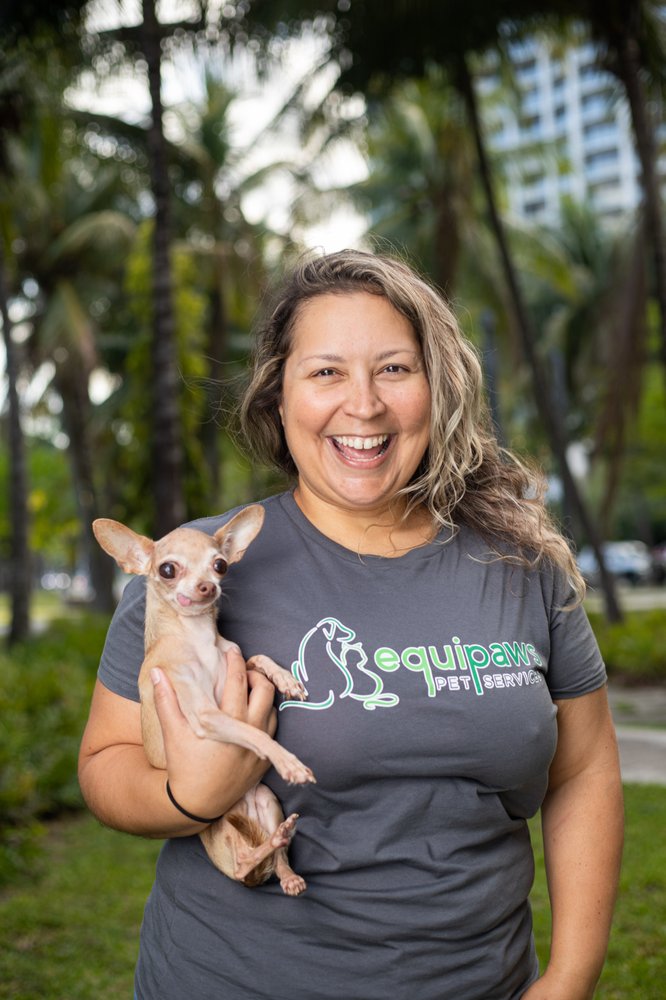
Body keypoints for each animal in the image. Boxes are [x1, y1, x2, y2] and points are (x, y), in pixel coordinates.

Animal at [93, 505, 313, 895]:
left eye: (220, 565)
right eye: (168, 569)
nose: (208, 586)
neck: (197, 638)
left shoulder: (238, 661)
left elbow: (260, 658)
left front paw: (286, 679)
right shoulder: (205, 714)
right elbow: (255, 732)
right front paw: (288, 762)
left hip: (267, 800)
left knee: (276, 858)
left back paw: (286, 866)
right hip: (217, 822)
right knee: (243, 864)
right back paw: (267, 847)